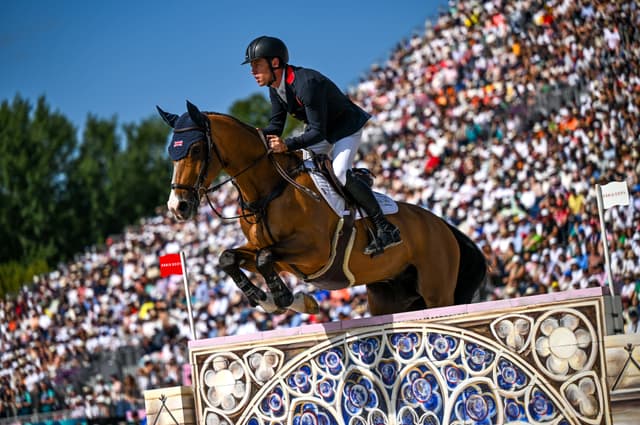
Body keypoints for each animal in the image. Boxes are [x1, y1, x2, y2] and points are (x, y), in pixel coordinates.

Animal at [156, 101, 484, 316]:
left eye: (196, 149)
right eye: (171, 152)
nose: (177, 207)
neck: (269, 191)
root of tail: (442, 225)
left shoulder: (314, 250)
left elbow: (264, 259)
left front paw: (284, 298)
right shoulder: (274, 254)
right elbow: (229, 258)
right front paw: (266, 299)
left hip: (437, 292)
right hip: (389, 298)